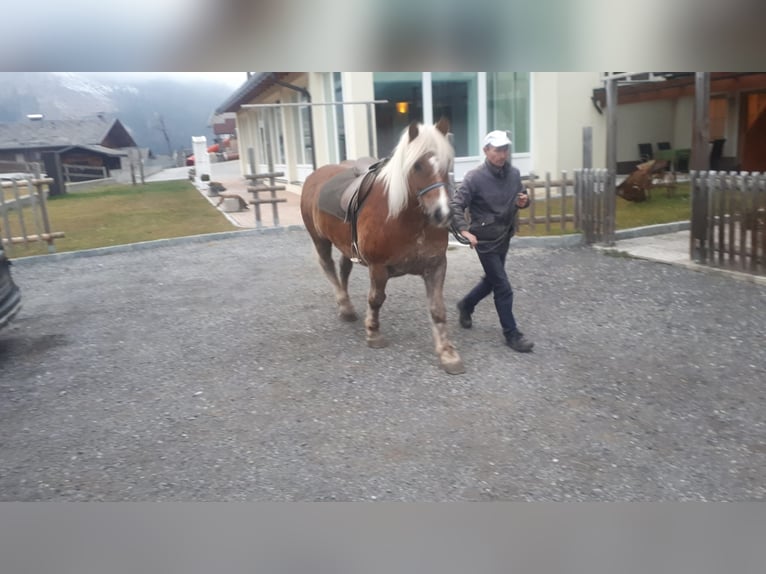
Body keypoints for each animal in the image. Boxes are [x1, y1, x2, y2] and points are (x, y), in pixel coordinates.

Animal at [304, 119, 464, 376]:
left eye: (447, 163)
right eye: (417, 165)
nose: (442, 214)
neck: (404, 219)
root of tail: (315, 176)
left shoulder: (436, 265)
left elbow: (438, 309)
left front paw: (447, 353)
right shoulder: (378, 267)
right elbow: (376, 299)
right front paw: (373, 333)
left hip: (345, 245)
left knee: (343, 268)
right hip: (320, 240)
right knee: (329, 267)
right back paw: (344, 306)